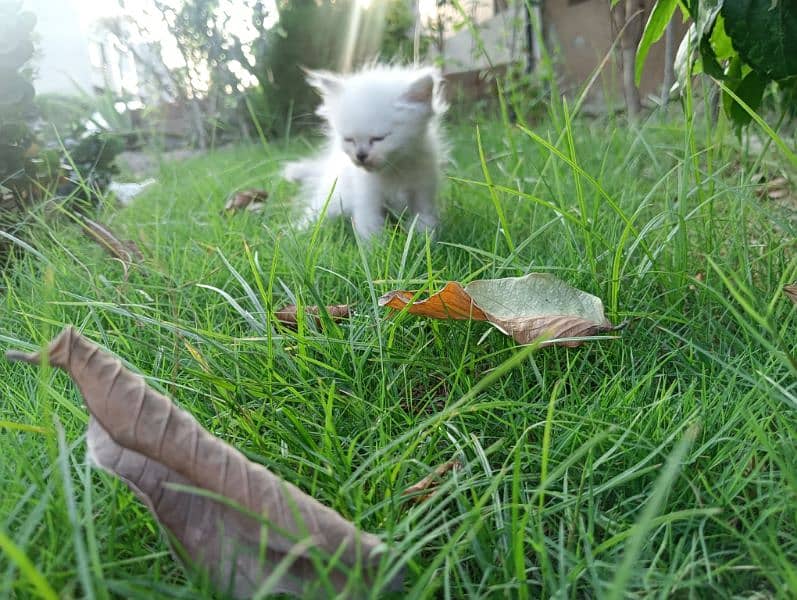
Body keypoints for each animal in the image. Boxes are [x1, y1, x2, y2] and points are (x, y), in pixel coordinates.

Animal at [282, 65, 448, 239]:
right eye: (349, 139)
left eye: (379, 138)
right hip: (332, 196)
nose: (360, 155)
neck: (394, 170)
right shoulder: (367, 200)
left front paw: (422, 240)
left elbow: (424, 221)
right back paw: (298, 232)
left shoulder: (423, 193)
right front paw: (376, 246)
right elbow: (370, 230)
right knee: (316, 213)